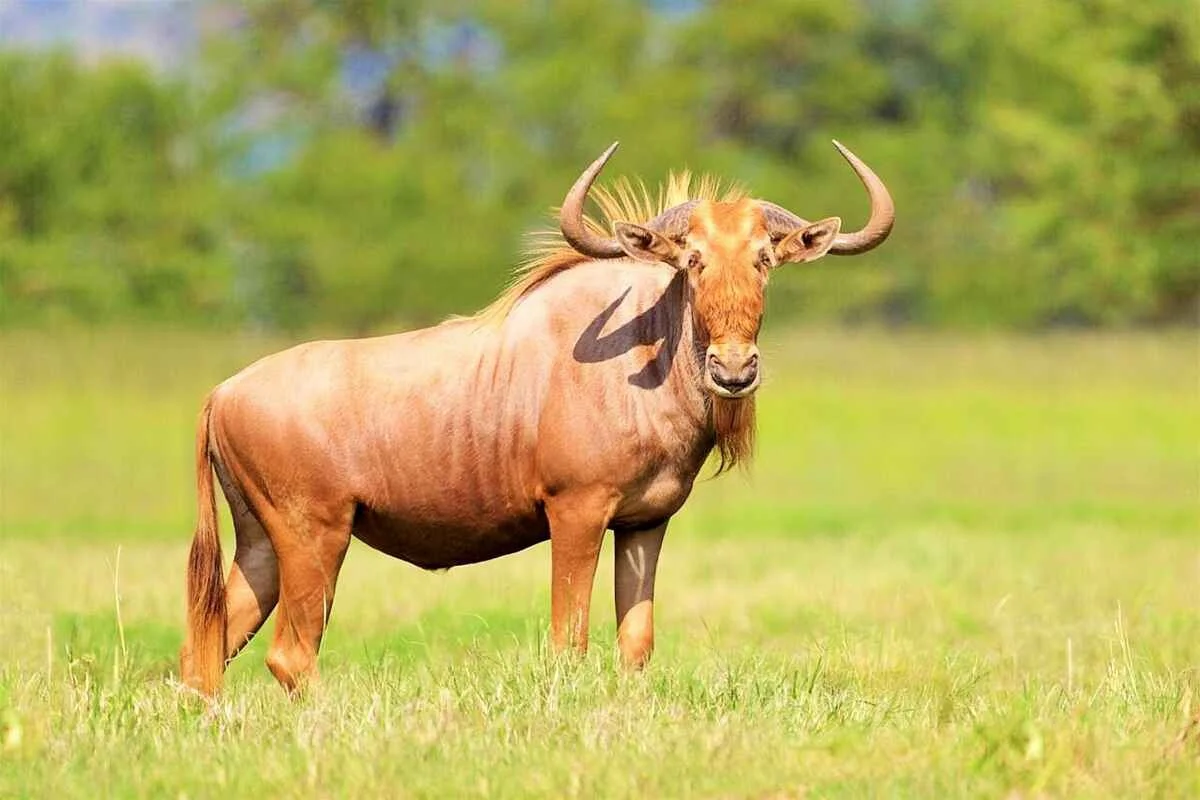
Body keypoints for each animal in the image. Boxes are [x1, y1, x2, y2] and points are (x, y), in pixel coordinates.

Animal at [181, 140, 893, 695]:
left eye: (765, 258)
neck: (641, 356)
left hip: (262, 548)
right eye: (691, 259)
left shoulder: (644, 523)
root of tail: (223, 393)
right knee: (289, 654)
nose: (735, 369)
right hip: (315, 538)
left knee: (204, 652)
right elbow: (569, 638)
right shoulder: (576, 513)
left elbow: (636, 641)